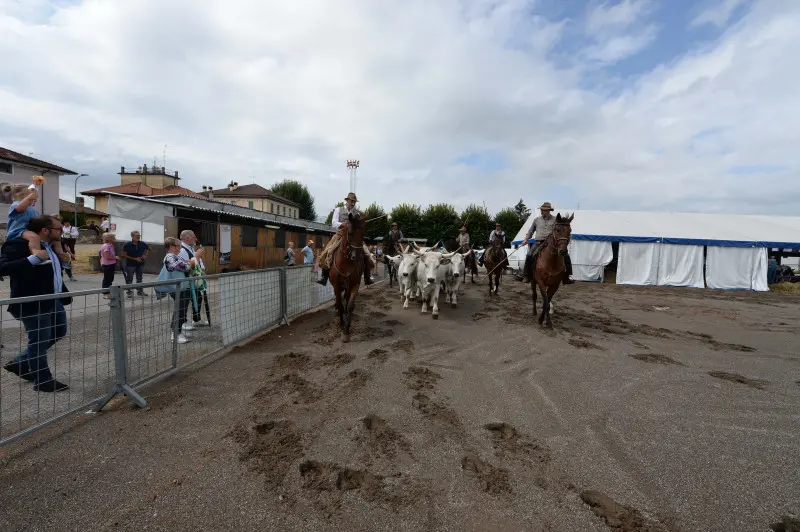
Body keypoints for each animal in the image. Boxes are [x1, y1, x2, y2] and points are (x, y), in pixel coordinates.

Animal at [330, 211, 368, 340]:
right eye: (350, 233)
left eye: (363, 234)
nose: (355, 257)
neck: (346, 262)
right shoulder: (336, 285)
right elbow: (340, 304)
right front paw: (342, 325)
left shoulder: (355, 284)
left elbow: (350, 306)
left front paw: (347, 330)